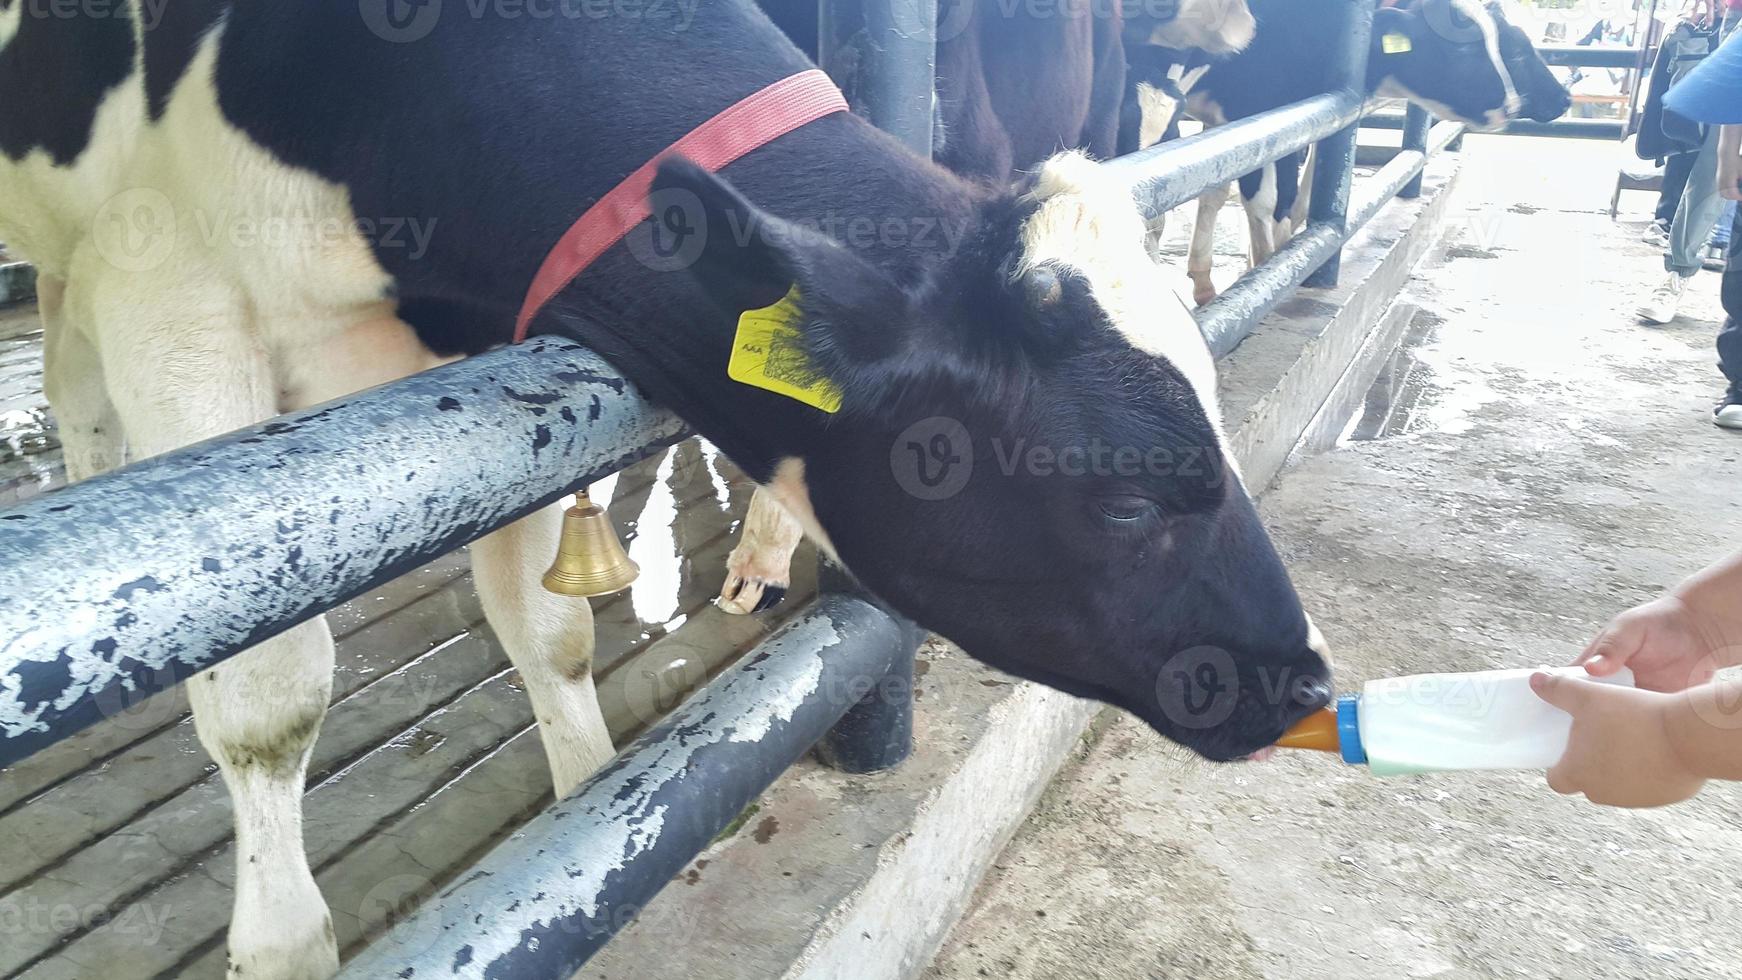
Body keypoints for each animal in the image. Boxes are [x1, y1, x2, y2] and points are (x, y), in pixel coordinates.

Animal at [3, 3, 1330, 974]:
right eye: (1124, 498)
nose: (1305, 678)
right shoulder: (174, 297)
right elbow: (268, 693)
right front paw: (281, 942)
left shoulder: (499, 359)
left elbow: (545, 628)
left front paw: (580, 824)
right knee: (72, 363)